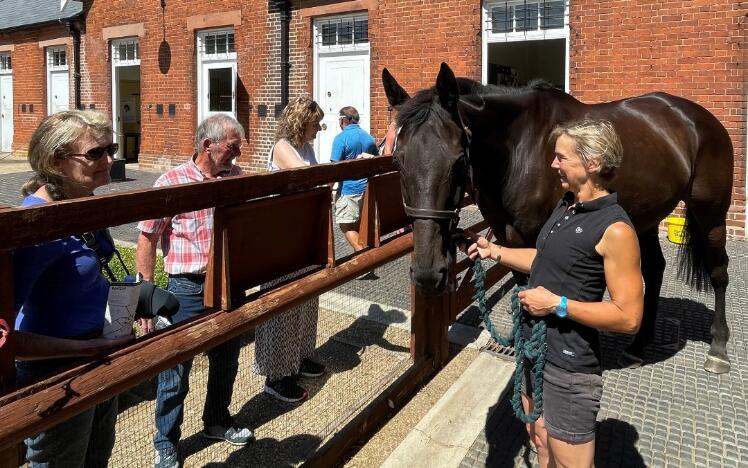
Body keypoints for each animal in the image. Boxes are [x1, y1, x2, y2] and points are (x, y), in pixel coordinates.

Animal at [388, 64, 732, 374]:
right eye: (397, 161)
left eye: (459, 160)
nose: (428, 275)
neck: (519, 149)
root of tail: (696, 117)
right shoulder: (510, 240)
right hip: (644, 217)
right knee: (654, 269)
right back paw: (637, 345)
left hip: (711, 213)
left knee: (718, 272)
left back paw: (718, 350)